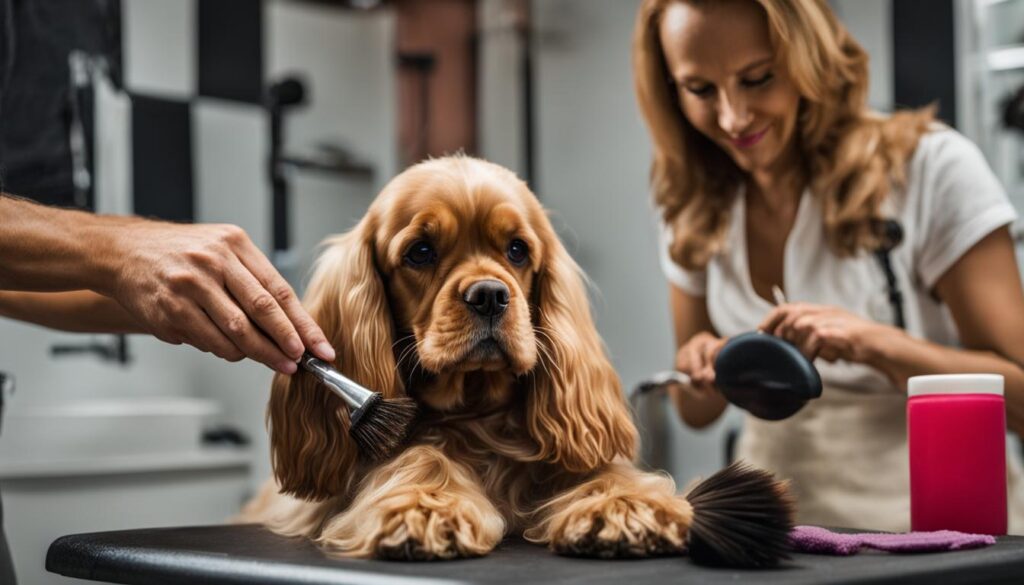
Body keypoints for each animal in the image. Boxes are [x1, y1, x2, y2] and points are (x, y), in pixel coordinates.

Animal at [238, 157, 700, 561]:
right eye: (420, 251)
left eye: (517, 250)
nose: (490, 295)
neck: (478, 414)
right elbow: (421, 454)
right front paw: (425, 508)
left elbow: (603, 470)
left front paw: (626, 505)